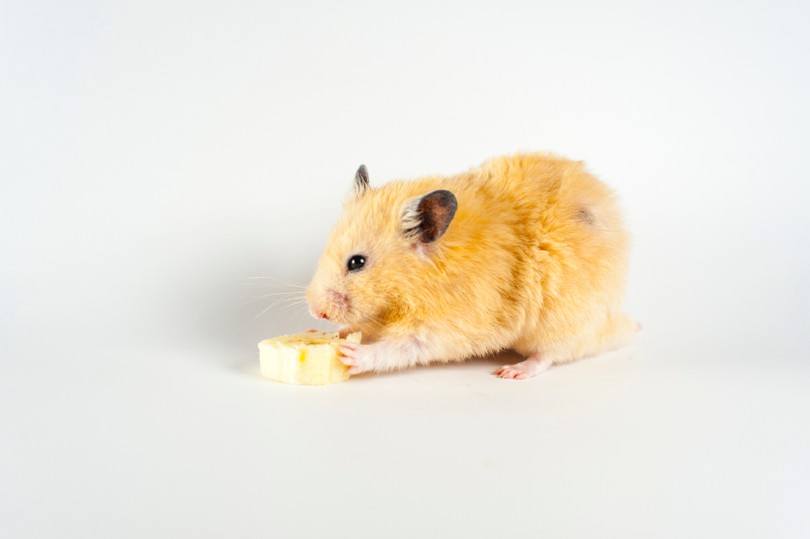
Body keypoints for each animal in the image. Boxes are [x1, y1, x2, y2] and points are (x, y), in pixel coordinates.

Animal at [306, 153, 637, 379]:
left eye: (357, 262)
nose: (316, 311)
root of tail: (613, 323)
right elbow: (366, 326)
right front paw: (338, 333)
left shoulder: (445, 327)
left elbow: (403, 348)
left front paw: (351, 354)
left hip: (561, 321)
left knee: (550, 355)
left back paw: (513, 371)